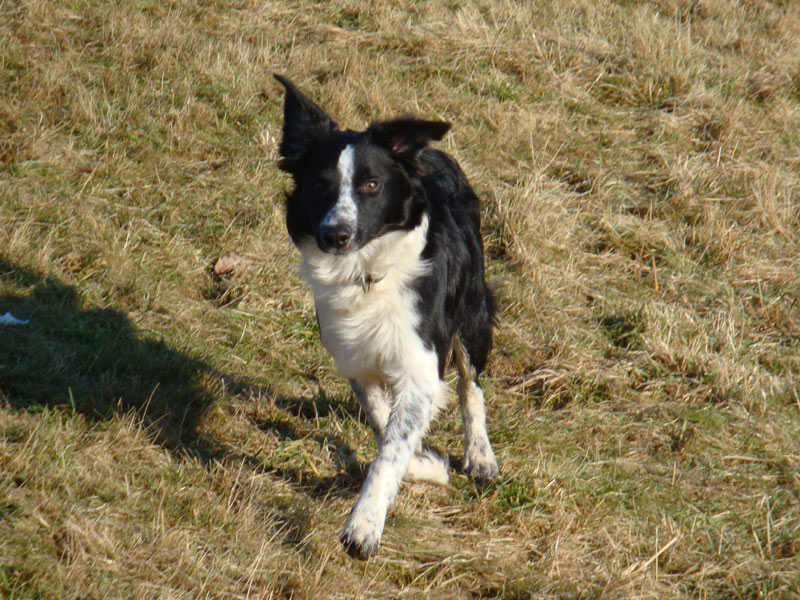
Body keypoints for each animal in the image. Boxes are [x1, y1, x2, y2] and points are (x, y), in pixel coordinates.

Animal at [276, 75, 500, 556]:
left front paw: (363, 526)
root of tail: (429, 152)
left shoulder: (421, 364)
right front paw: (427, 465)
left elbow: (392, 448)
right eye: (319, 185)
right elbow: (385, 427)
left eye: (371, 185)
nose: (335, 234)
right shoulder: (355, 358)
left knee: (472, 385)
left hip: (471, 314)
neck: (364, 272)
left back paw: (480, 455)